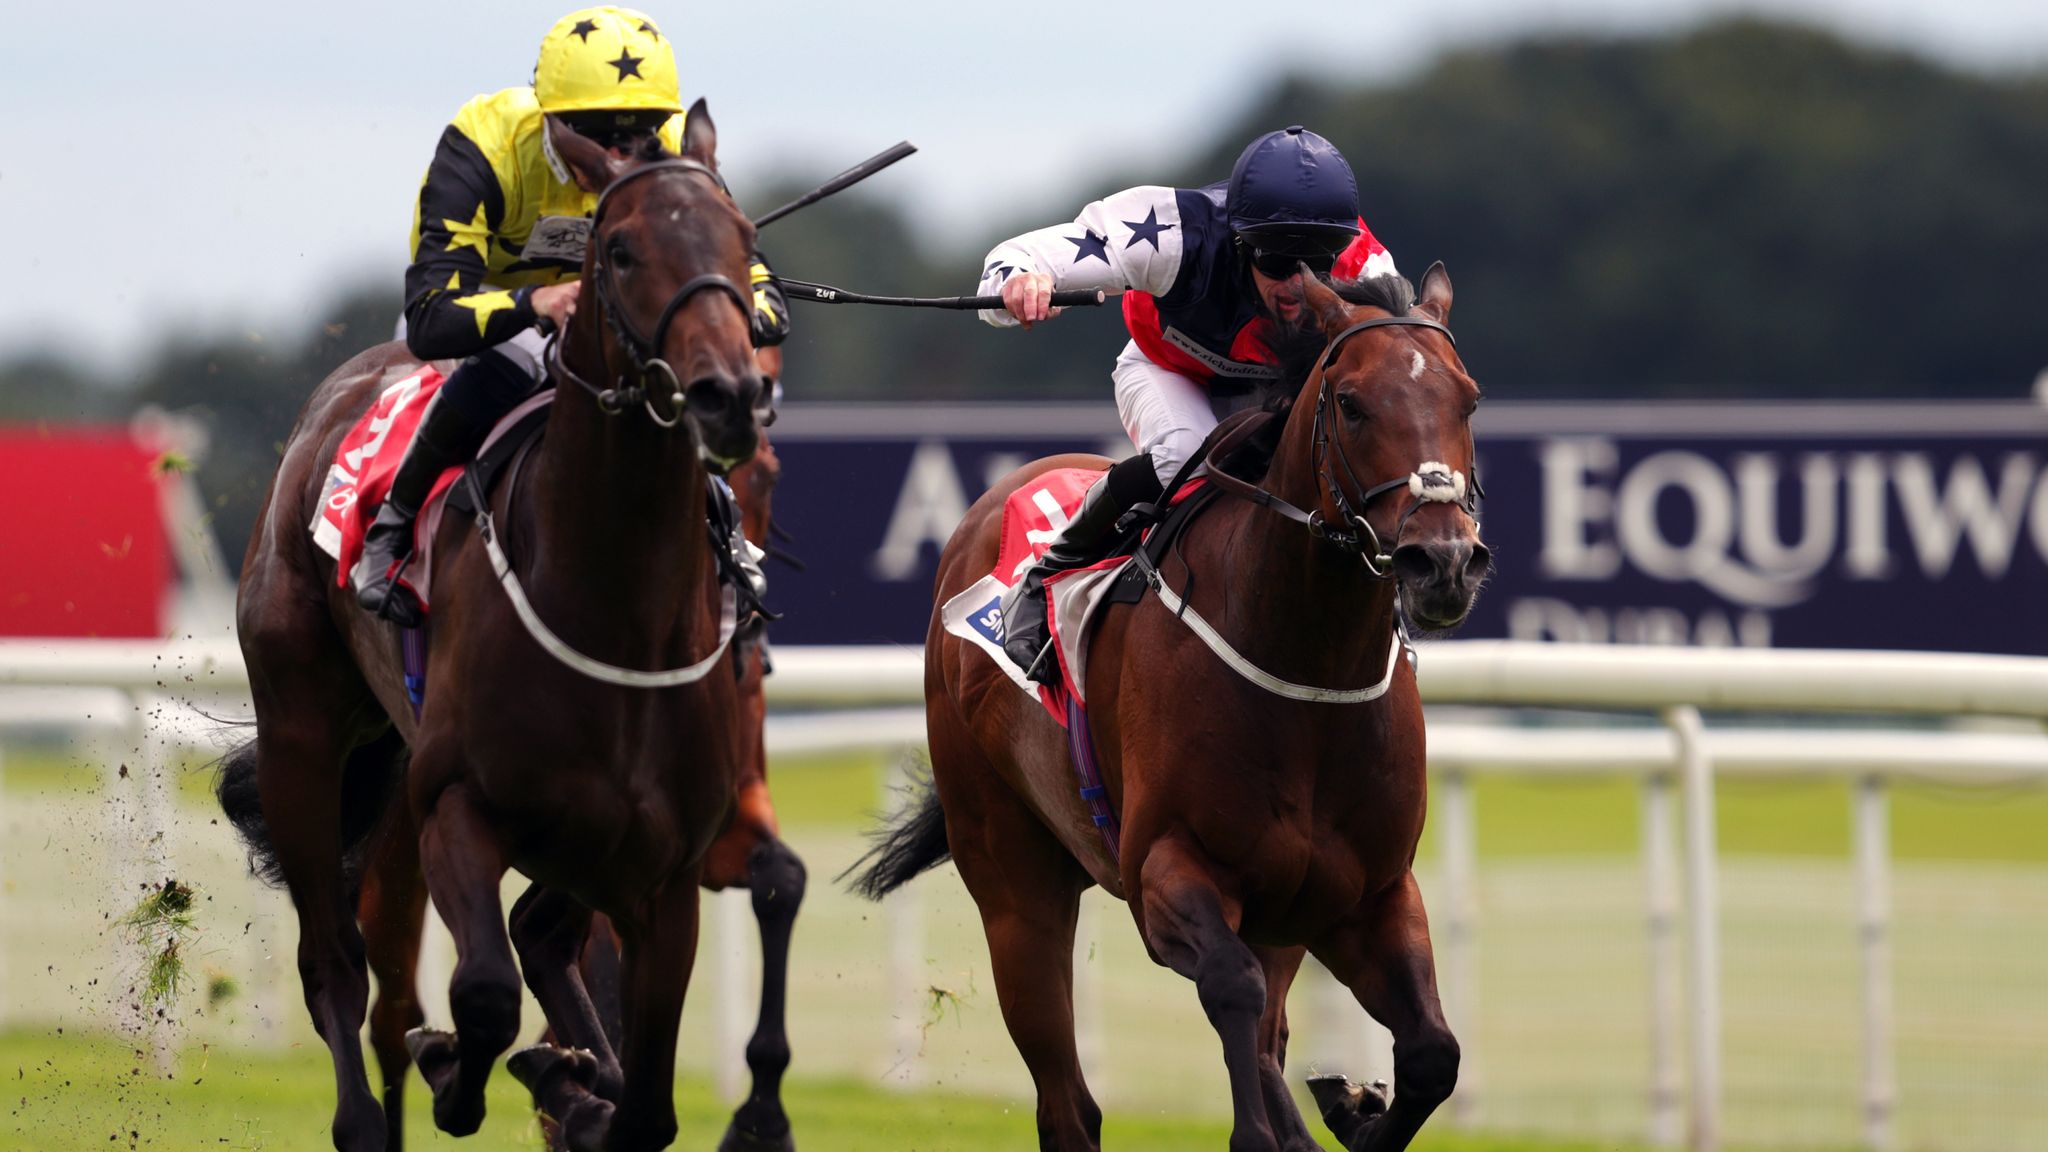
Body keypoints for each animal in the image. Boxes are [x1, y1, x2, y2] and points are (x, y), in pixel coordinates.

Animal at [356, 422, 802, 1147]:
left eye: (767, 474)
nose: (746, 631)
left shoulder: (707, 829)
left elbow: (781, 881)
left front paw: (759, 1115)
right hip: (404, 848)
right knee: (393, 1014)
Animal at [851, 266, 1490, 1147]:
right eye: (1353, 402)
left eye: (1467, 401)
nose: (1445, 562)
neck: (1305, 667)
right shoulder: (1165, 872)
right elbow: (1231, 988)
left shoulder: (1368, 895)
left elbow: (1433, 1054)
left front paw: (1354, 1108)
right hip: (1013, 879)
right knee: (1067, 1101)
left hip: (1281, 912)